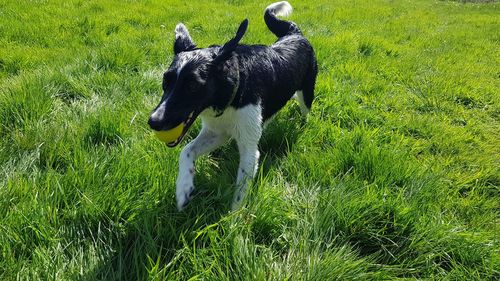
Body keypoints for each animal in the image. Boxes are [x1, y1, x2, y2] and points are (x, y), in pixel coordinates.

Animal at [148, 1, 318, 209]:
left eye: (192, 86)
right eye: (166, 81)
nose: (153, 121)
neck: (234, 91)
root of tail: (295, 34)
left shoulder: (249, 149)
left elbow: (240, 193)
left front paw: (233, 217)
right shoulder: (217, 132)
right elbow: (186, 151)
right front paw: (183, 189)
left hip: (307, 93)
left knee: (304, 109)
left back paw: (302, 123)